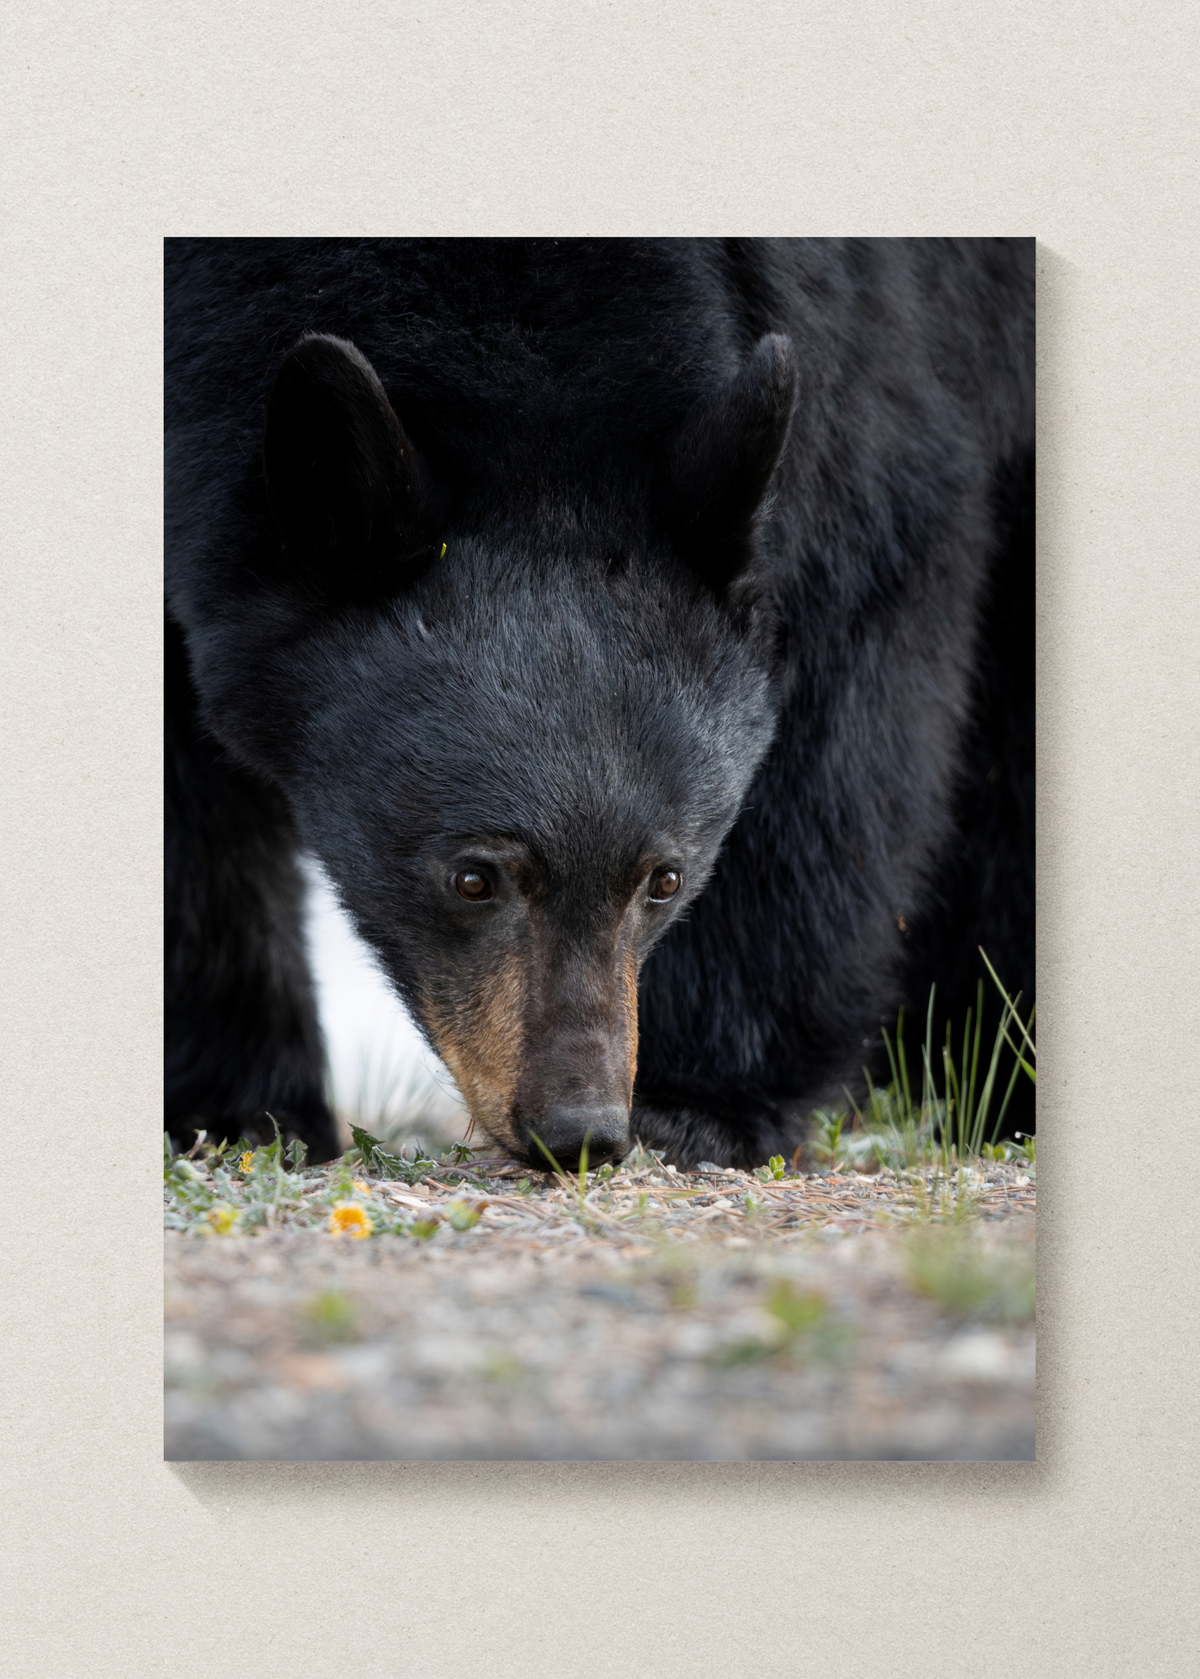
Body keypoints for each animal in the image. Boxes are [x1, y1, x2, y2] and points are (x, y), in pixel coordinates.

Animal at [165, 237, 1034, 1170]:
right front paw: (235, 1108)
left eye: (666, 878)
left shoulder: (876, 351)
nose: (579, 1129)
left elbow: (843, 703)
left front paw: (701, 1102)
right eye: (472, 877)